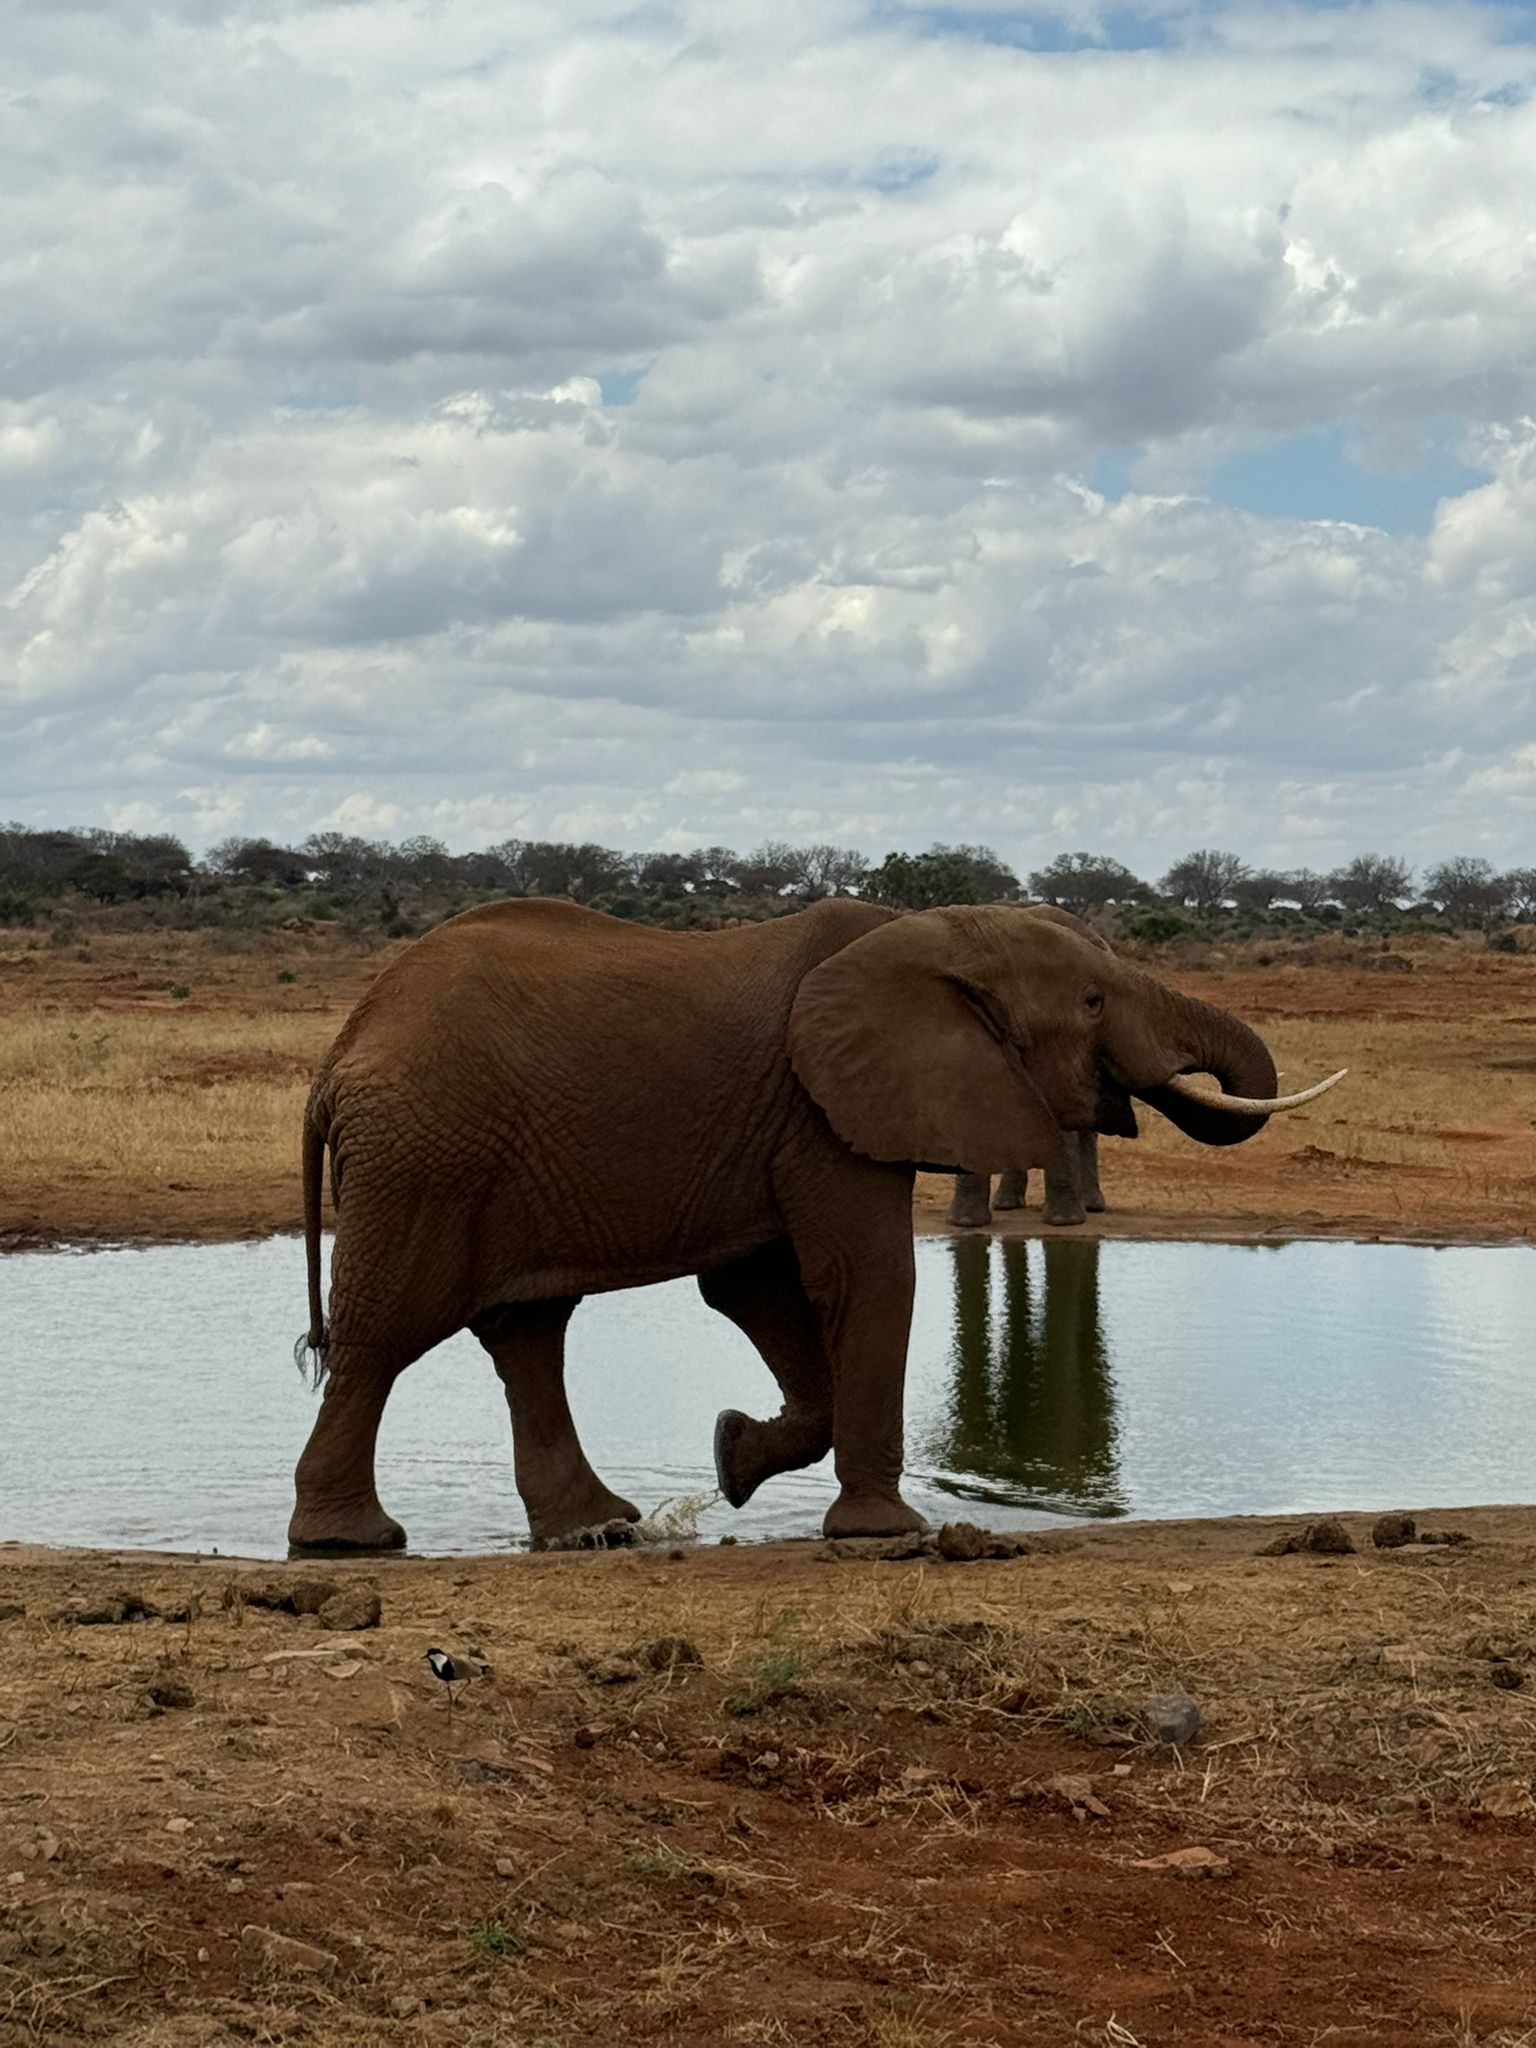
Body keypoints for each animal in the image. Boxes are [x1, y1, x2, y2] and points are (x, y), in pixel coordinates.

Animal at [289, 896, 1341, 1553]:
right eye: (1090, 1001)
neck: (932, 936)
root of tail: (341, 1051)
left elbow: (753, 1286)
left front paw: (731, 1456)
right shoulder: (820, 1106)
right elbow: (865, 1274)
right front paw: (888, 1536)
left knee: (526, 1332)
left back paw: (602, 1529)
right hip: (426, 1157)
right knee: (387, 1331)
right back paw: (350, 1541)